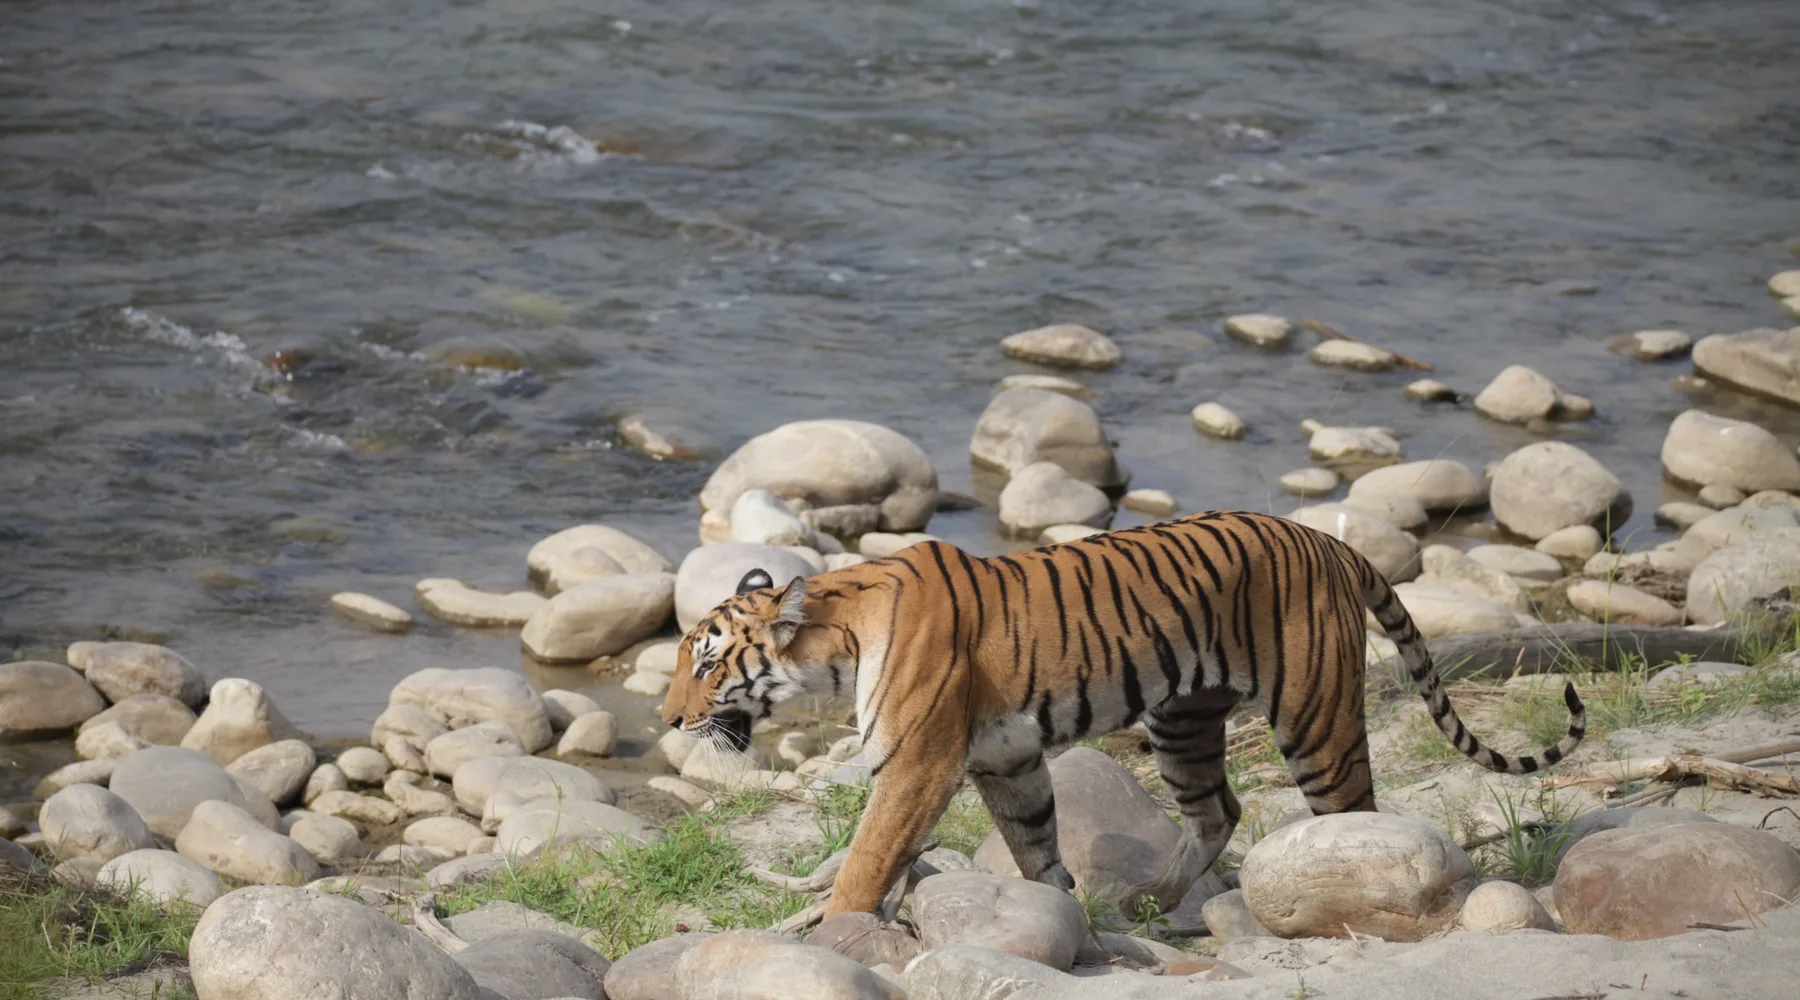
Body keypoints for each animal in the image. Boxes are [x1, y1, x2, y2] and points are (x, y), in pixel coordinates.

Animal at [660, 509, 1585, 918]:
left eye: (707, 663)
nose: (667, 721)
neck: (839, 640)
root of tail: (1331, 539)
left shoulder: (918, 764)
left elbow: (866, 858)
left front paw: (835, 930)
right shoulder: (1007, 759)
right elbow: (1035, 850)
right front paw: (1072, 924)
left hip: (1314, 719)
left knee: (1354, 813)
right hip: (1183, 720)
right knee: (1219, 809)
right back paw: (1153, 903)